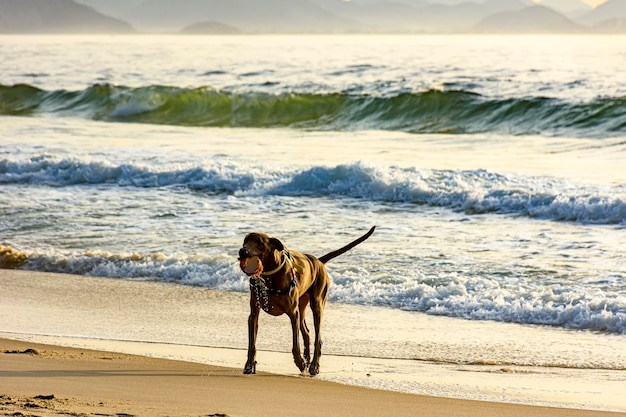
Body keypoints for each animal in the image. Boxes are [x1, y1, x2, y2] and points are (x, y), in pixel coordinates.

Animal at [238, 226, 376, 376]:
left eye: (259, 242)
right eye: (245, 240)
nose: (242, 251)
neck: (270, 274)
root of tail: (318, 261)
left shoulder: (293, 313)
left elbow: (295, 344)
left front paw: (300, 362)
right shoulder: (254, 313)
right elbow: (252, 343)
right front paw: (249, 365)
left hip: (317, 303)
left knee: (318, 337)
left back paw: (314, 365)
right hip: (302, 304)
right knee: (307, 331)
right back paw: (308, 358)